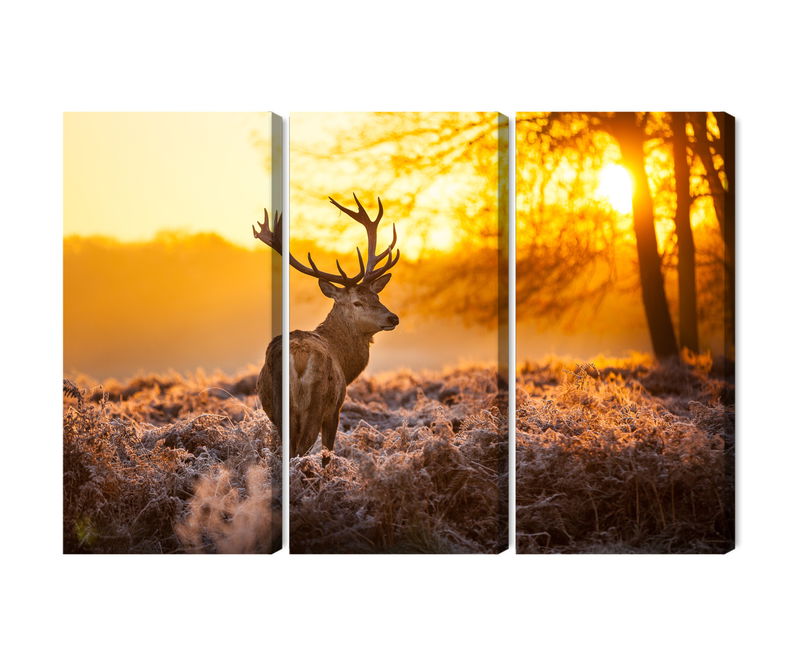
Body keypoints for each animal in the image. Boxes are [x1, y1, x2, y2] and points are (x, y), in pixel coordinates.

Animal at [253, 194, 400, 461]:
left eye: (377, 296)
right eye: (357, 302)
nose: (393, 318)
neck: (344, 360)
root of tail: (299, 358)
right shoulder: (335, 409)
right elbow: (327, 454)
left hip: (280, 410)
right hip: (316, 404)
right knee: (300, 451)